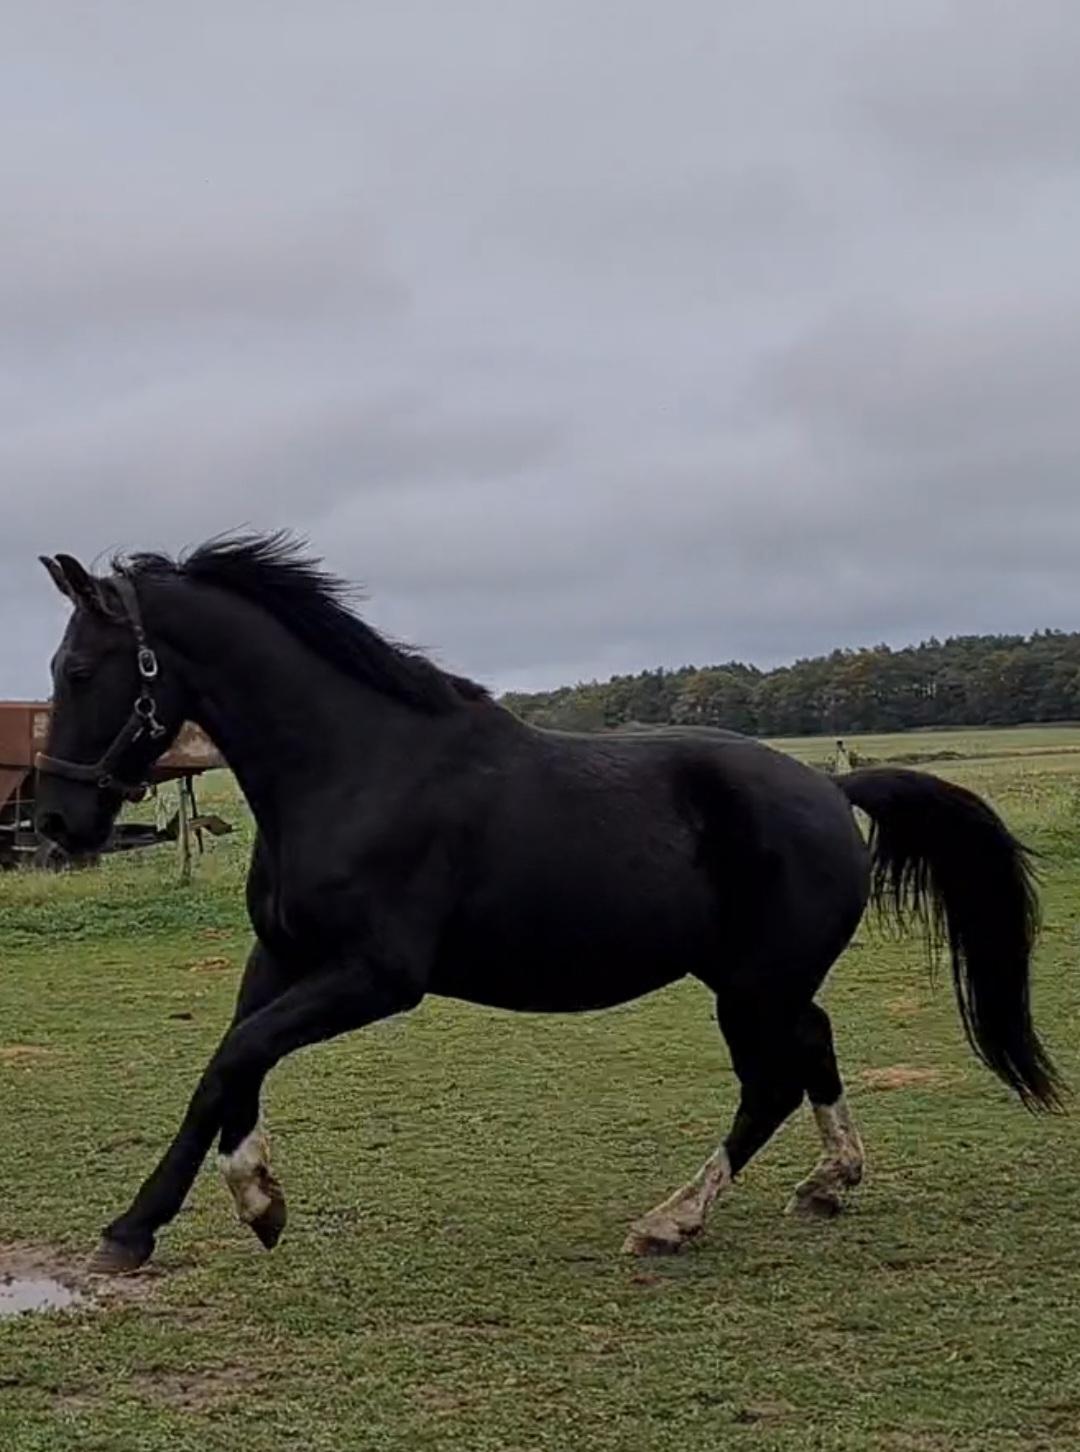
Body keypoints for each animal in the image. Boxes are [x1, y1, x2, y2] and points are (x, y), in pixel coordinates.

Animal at [33, 537, 1062, 1271]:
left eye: (79, 671)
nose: (54, 819)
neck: (356, 768)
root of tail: (830, 790)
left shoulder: (374, 977)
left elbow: (236, 1057)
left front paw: (210, 1210)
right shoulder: (282, 956)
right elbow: (228, 1067)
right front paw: (200, 1210)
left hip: (751, 987)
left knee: (770, 1080)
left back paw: (673, 1220)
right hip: (760, 982)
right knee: (814, 1047)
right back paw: (828, 1182)